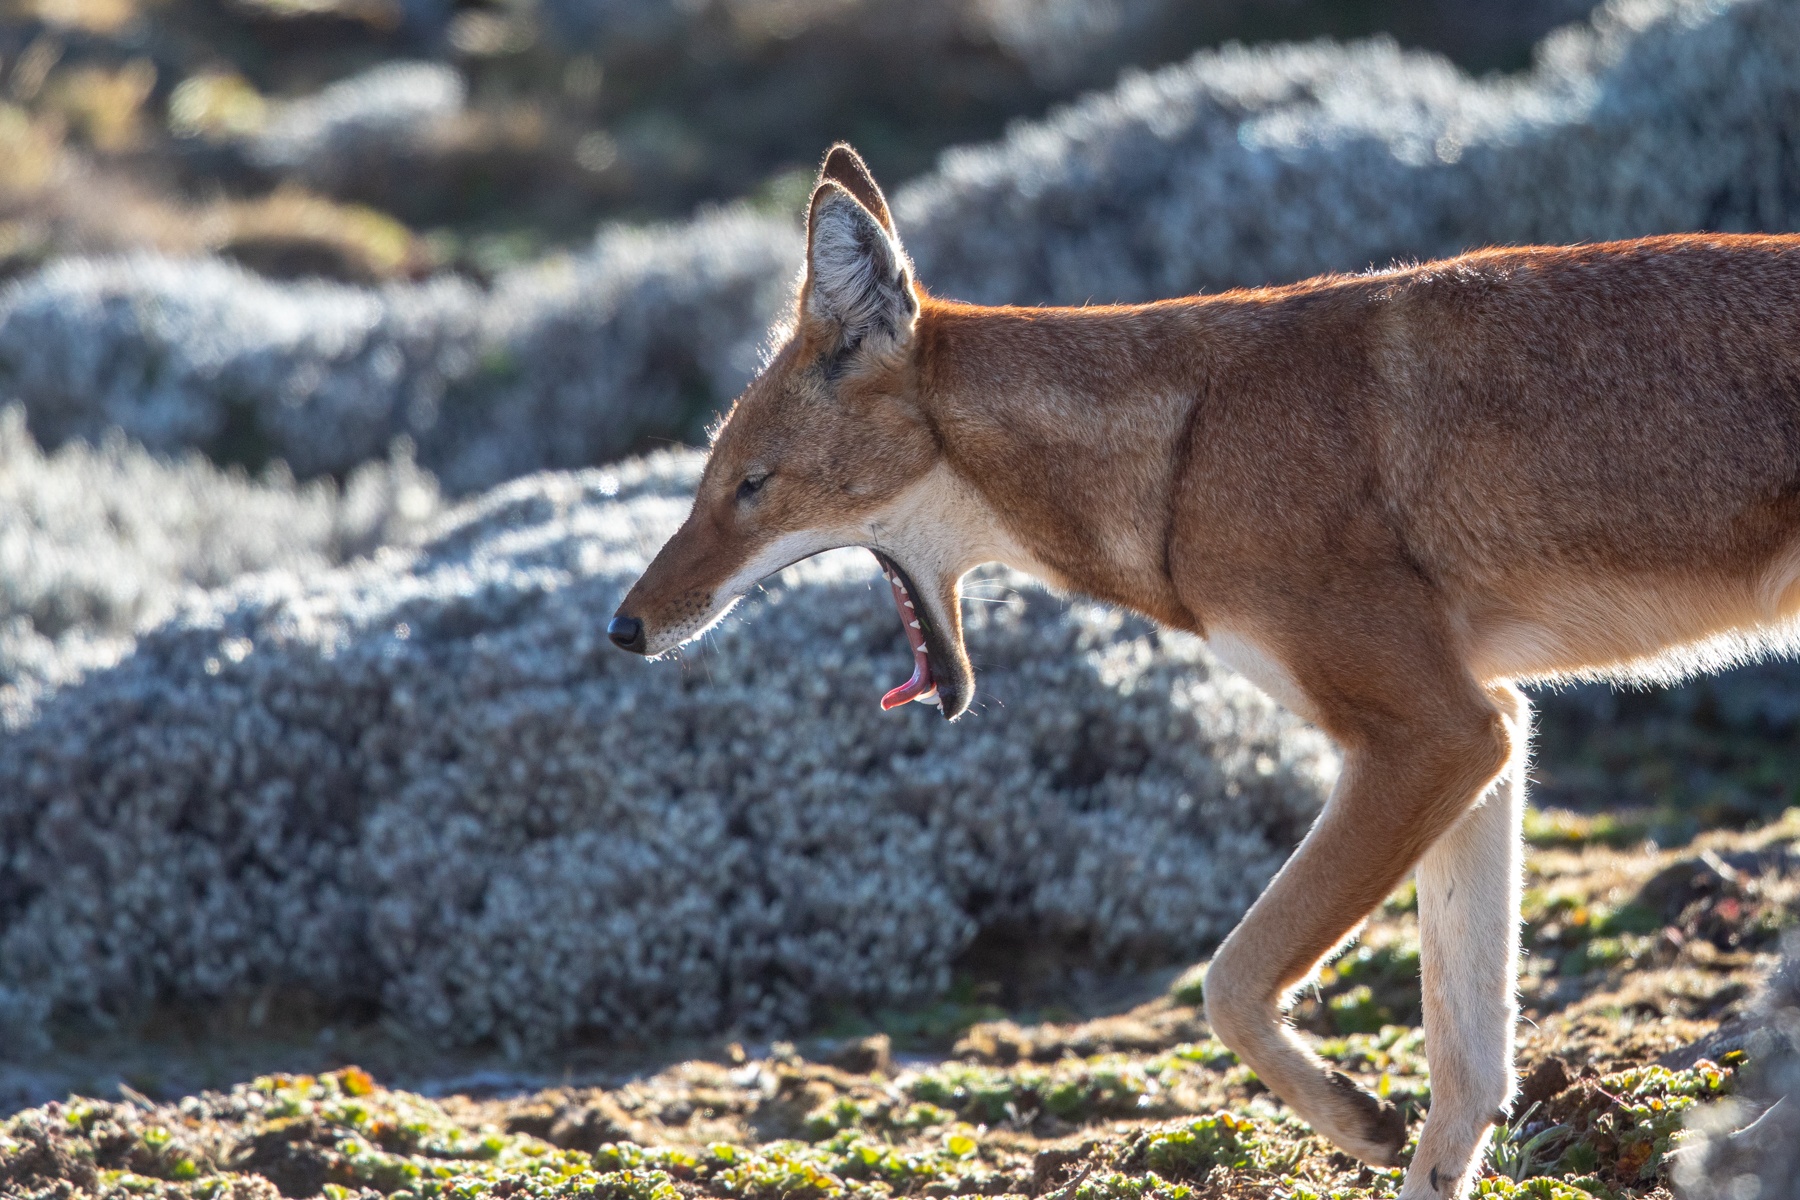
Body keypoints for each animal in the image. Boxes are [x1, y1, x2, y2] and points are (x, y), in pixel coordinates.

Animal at [610, 144, 1800, 1197]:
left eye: (748, 487)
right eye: (708, 486)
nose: (624, 627)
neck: (1184, 445)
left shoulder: (1436, 733)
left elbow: (1228, 982)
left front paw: (1354, 1119)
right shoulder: (1492, 732)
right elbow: (1464, 1071)